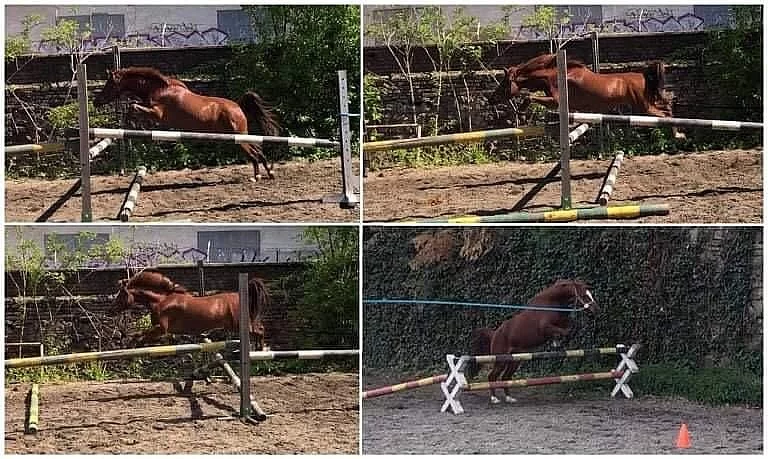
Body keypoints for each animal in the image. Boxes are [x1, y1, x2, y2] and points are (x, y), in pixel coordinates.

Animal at [93, 67, 281, 181]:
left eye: (109, 84)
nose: (96, 102)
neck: (160, 88)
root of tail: (238, 107)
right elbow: (135, 106)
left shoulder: (158, 113)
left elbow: (133, 107)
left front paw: (133, 122)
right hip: (239, 137)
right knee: (257, 151)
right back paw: (266, 174)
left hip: (238, 138)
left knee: (254, 153)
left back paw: (259, 176)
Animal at [112, 269, 270, 350]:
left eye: (121, 295)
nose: (112, 308)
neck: (162, 300)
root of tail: (242, 295)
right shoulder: (162, 331)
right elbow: (140, 334)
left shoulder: (162, 329)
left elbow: (141, 335)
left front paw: (130, 343)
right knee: (258, 329)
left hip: (239, 325)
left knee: (260, 330)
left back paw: (261, 349)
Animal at [466, 279, 597, 405]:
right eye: (585, 296)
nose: (596, 310)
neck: (551, 303)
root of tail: (494, 334)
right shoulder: (545, 328)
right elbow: (562, 330)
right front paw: (556, 341)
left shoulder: (563, 321)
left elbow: (572, 325)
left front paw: (558, 341)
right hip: (501, 360)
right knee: (492, 376)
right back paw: (494, 399)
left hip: (515, 360)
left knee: (505, 377)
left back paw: (509, 398)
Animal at [489, 53, 680, 135]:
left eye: (505, 83)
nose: (491, 99)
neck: (553, 74)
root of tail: (642, 75)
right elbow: (529, 96)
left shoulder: (555, 101)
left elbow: (529, 96)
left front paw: (521, 113)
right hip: (646, 104)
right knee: (667, 108)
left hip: (643, 106)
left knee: (665, 114)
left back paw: (677, 134)